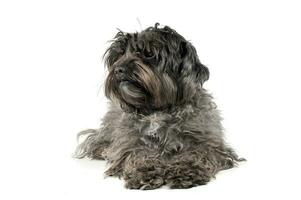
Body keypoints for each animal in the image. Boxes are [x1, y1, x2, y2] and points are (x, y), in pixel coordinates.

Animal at [73, 23, 244, 189]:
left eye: (148, 53)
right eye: (120, 54)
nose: (118, 69)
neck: (157, 111)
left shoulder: (209, 144)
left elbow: (196, 154)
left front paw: (185, 170)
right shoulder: (130, 144)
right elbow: (140, 155)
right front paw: (145, 171)